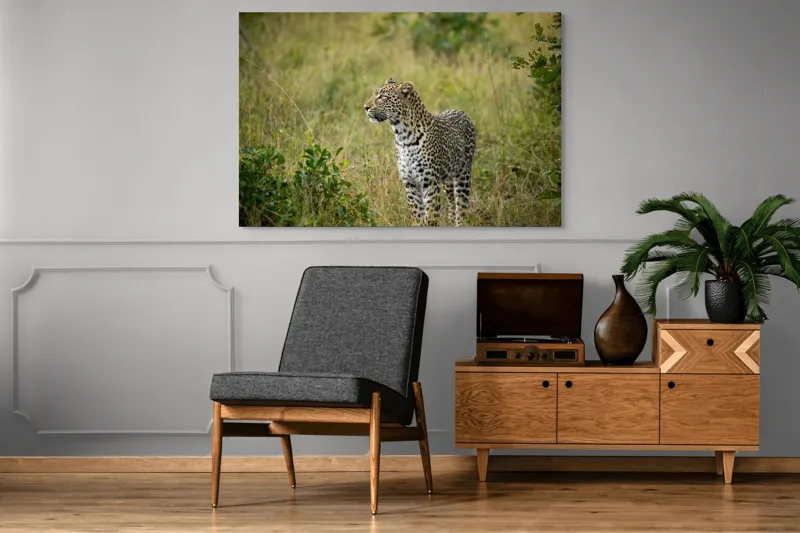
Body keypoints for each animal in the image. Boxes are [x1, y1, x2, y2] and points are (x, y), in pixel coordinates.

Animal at [364, 78, 476, 227]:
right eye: (374, 94)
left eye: (381, 97)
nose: (365, 107)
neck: (402, 136)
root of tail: (461, 112)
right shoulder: (409, 183)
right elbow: (417, 214)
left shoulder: (430, 183)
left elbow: (431, 215)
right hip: (447, 179)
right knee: (452, 202)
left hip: (463, 174)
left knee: (461, 206)